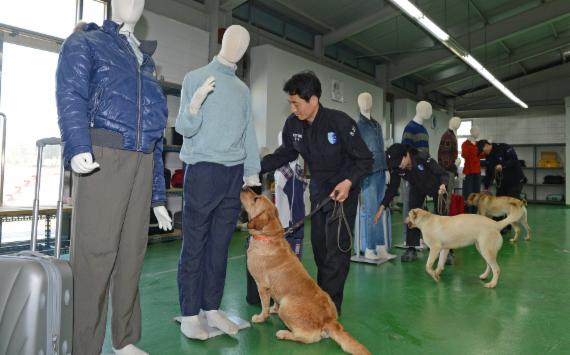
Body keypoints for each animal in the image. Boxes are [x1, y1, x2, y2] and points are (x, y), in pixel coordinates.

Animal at [239, 191, 368, 355]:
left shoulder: (262, 286)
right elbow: (274, 301)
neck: (268, 237)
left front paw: (261, 317)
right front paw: (274, 309)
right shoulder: (273, 290)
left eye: (256, 198)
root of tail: (328, 320)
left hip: (287, 307)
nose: (244, 188)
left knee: (307, 338)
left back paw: (284, 333)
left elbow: (264, 306)